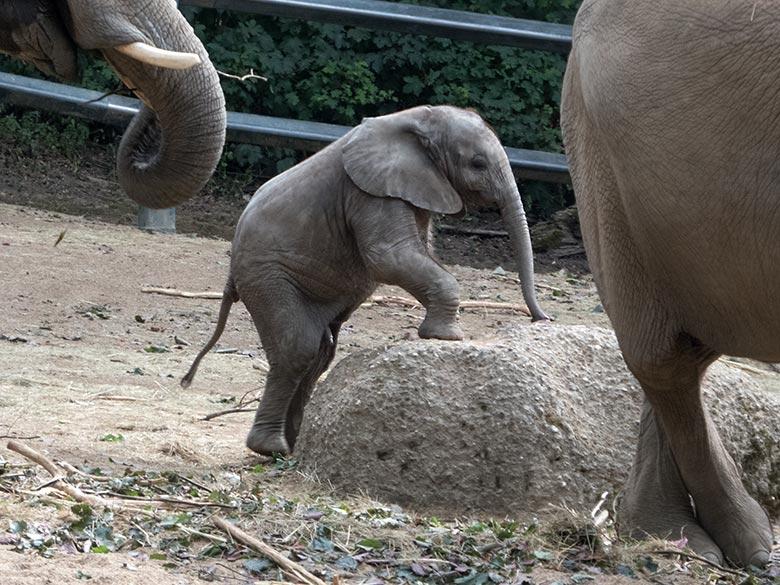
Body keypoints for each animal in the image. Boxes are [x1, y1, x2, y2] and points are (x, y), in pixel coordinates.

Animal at [183, 106, 548, 456]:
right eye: (477, 163)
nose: (541, 318)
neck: (420, 119)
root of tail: (231, 269)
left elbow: (418, 252)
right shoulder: (372, 193)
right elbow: (389, 258)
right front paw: (446, 337)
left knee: (320, 354)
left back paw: (293, 448)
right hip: (266, 276)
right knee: (299, 347)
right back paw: (271, 448)